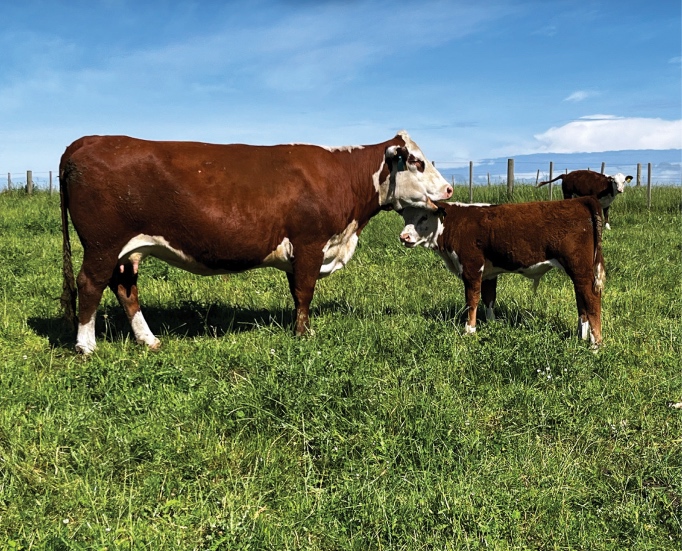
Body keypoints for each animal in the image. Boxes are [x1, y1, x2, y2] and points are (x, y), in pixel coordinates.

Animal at [59, 131, 453, 354]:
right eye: (417, 162)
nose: (449, 189)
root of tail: (86, 141)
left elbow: (296, 292)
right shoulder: (310, 243)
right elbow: (305, 291)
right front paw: (304, 336)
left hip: (127, 250)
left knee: (125, 288)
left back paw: (148, 340)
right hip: (103, 244)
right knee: (90, 284)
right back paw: (86, 346)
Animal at [398, 197, 605, 345]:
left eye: (424, 217)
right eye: (406, 217)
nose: (403, 237)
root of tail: (579, 200)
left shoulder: (471, 267)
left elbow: (472, 300)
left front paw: (469, 330)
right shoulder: (489, 273)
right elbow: (489, 298)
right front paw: (491, 324)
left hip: (579, 268)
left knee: (591, 299)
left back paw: (595, 345)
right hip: (580, 273)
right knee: (582, 301)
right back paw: (580, 336)